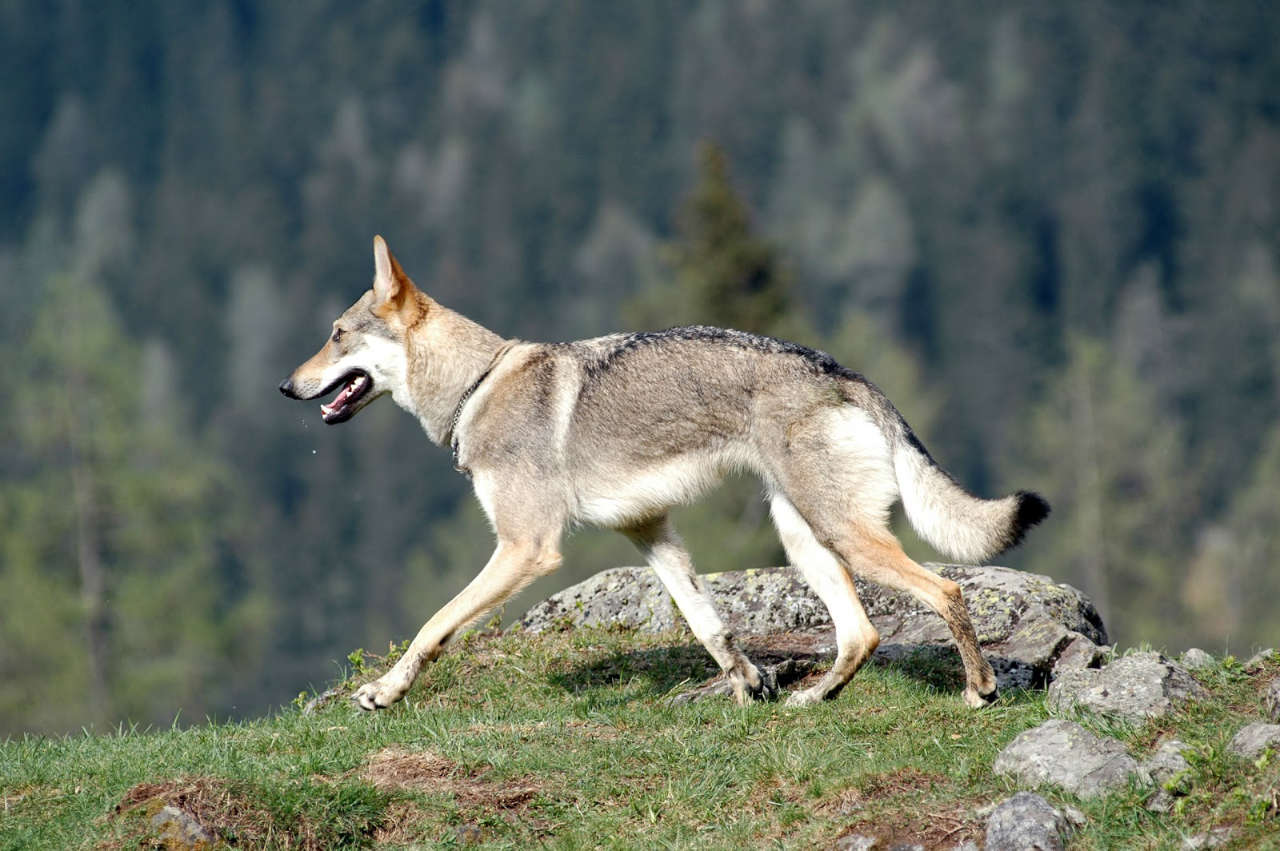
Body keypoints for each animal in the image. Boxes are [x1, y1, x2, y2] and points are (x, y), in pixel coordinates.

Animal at [280, 236, 1049, 712]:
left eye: (336, 335)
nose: (286, 387)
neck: (477, 386)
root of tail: (847, 374)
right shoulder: (650, 533)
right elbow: (711, 629)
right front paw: (749, 687)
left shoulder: (525, 549)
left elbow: (434, 625)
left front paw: (384, 692)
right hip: (805, 539)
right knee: (862, 633)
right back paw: (812, 699)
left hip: (843, 536)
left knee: (946, 589)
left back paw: (980, 690)